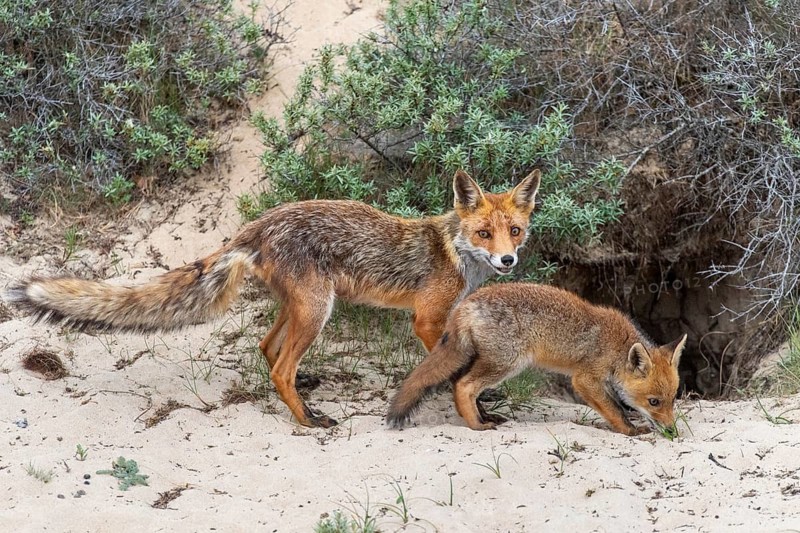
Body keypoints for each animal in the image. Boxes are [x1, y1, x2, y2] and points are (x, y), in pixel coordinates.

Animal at [5, 169, 541, 429]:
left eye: (514, 231)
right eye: (484, 232)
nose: (507, 260)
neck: (456, 253)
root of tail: (259, 222)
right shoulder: (427, 321)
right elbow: (450, 368)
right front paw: (469, 406)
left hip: (303, 307)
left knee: (267, 349)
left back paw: (303, 392)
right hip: (317, 310)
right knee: (279, 366)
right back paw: (308, 419)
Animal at [386, 283, 688, 436]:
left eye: (673, 399)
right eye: (654, 402)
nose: (672, 431)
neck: (617, 344)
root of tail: (464, 305)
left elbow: (617, 404)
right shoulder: (584, 379)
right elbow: (614, 410)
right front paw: (629, 430)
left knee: (458, 383)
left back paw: (482, 415)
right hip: (507, 363)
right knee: (464, 386)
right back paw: (477, 425)